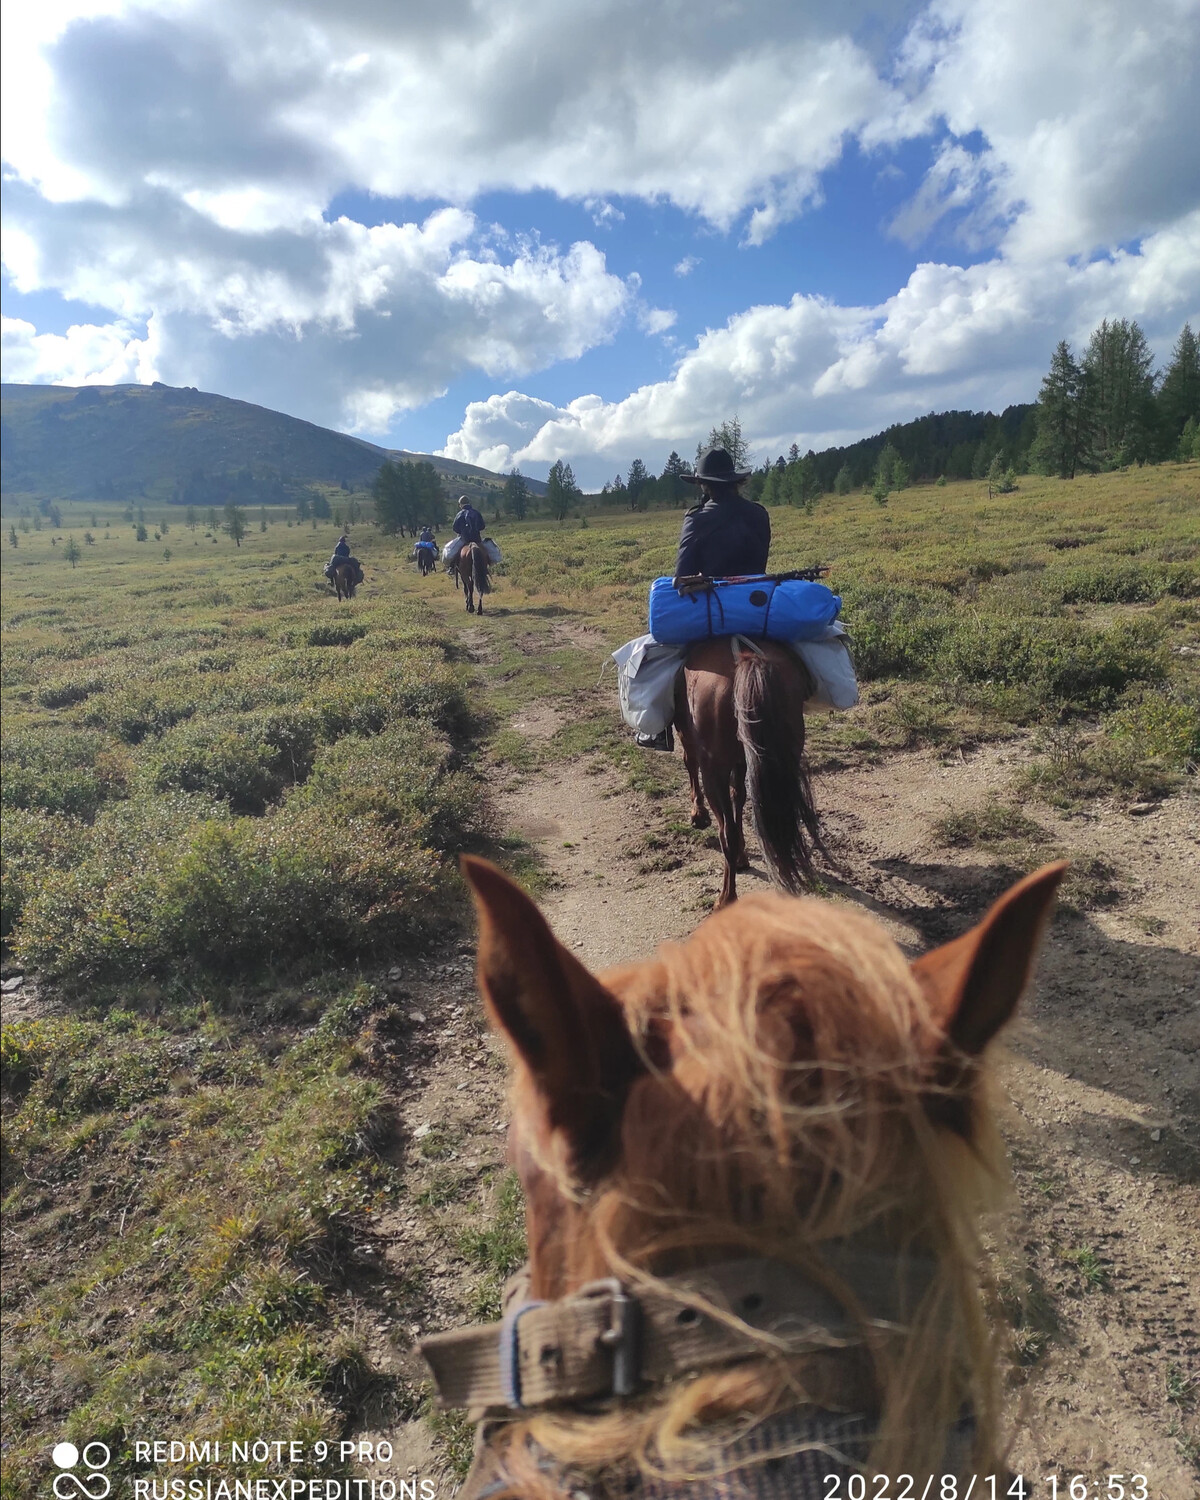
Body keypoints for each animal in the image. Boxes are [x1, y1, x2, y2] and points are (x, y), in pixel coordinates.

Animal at [669, 636, 822, 906]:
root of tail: (746, 658)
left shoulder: (685, 731)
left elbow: (690, 763)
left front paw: (698, 815)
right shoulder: (742, 761)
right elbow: (738, 796)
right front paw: (742, 856)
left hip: (714, 770)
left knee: (725, 832)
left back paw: (725, 899)